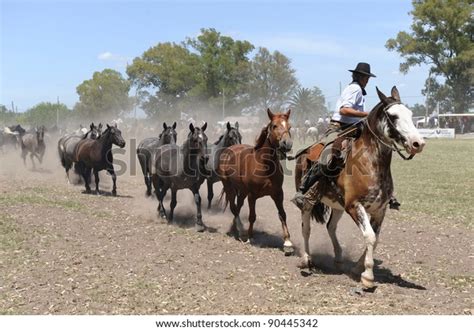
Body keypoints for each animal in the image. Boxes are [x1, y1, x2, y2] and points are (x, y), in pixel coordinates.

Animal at [218, 108, 292, 254]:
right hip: (229, 186)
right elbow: (252, 216)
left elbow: (283, 214)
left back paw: (235, 227)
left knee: (238, 206)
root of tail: (229, 149)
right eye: (274, 126)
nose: (287, 144)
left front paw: (287, 242)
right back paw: (241, 231)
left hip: (242, 191)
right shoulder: (252, 195)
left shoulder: (278, 194)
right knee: (233, 207)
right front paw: (249, 237)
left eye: (289, 126)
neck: (264, 165)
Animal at [296, 87, 426, 290]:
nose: (417, 143)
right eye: (393, 116)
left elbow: (375, 238)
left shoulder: (379, 210)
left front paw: (358, 268)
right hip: (309, 201)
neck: (369, 163)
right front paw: (368, 277)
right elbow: (370, 237)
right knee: (306, 228)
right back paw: (306, 259)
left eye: (411, 114)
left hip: (337, 206)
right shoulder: (355, 206)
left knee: (330, 227)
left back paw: (338, 258)